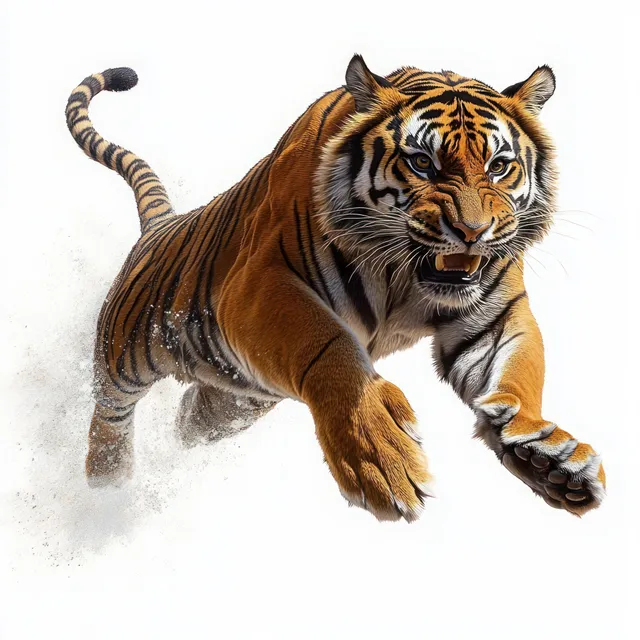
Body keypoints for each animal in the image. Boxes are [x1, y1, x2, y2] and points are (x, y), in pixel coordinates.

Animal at [65, 55, 606, 521]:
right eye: (422, 163)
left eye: (498, 166)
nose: (472, 232)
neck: (406, 276)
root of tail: (161, 226)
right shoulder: (257, 286)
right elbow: (328, 347)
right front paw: (379, 455)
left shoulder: (494, 313)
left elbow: (515, 371)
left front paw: (545, 454)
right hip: (127, 351)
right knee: (109, 413)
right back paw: (105, 488)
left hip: (235, 401)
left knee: (190, 418)